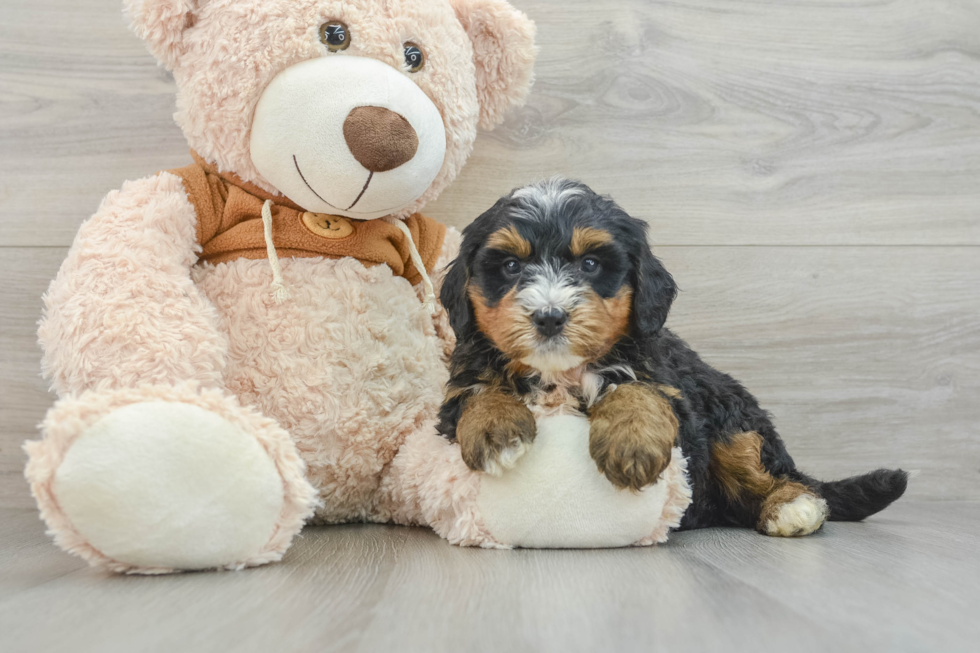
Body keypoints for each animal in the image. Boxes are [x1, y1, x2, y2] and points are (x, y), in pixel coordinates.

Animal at [438, 178, 912, 536]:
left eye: (590, 264)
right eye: (511, 267)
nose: (550, 317)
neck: (562, 371)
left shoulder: (669, 389)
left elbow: (638, 389)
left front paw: (632, 442)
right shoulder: (458, 386)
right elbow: (476, 391)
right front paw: (496, 430)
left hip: (731, 419)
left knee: (768, 469)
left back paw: (792, 508)